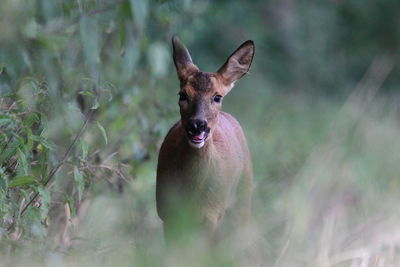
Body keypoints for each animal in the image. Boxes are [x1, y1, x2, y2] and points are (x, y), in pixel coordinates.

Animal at [155, 36, 255, 244]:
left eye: (217, 97)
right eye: (182, 94)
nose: (197, 125)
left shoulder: (212, 214)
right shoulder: (166, 212)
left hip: (243, 196)